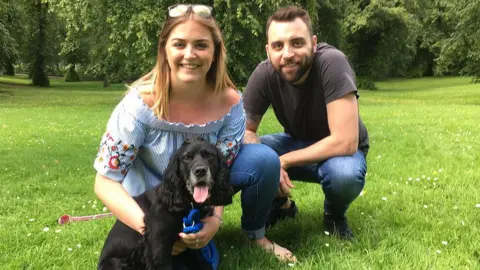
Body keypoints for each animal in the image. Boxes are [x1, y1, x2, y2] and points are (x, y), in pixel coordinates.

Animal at [97, 138, 232, 268]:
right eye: (186, 158)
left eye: (209, 155)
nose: (200, 171)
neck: (188, 203)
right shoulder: (158, 244)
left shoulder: (192, 241)